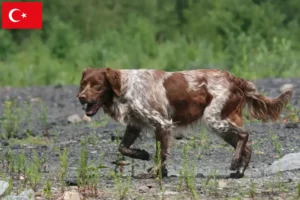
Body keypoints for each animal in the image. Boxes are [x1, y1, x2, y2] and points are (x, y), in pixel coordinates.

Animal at [77, 67, 292, 178]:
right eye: (82, 84)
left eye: (97, 85)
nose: (80, 97)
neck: (124, 87)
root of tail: (235, 79)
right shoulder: (135, 124)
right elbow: (123, 147)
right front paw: (143, 155)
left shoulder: (162, 124)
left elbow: (161, 154)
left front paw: (156, 171)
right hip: (221, 125)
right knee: (246, 145)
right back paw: (239, 169)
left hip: (214, 119)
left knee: (244, 135)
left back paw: (234, 163)